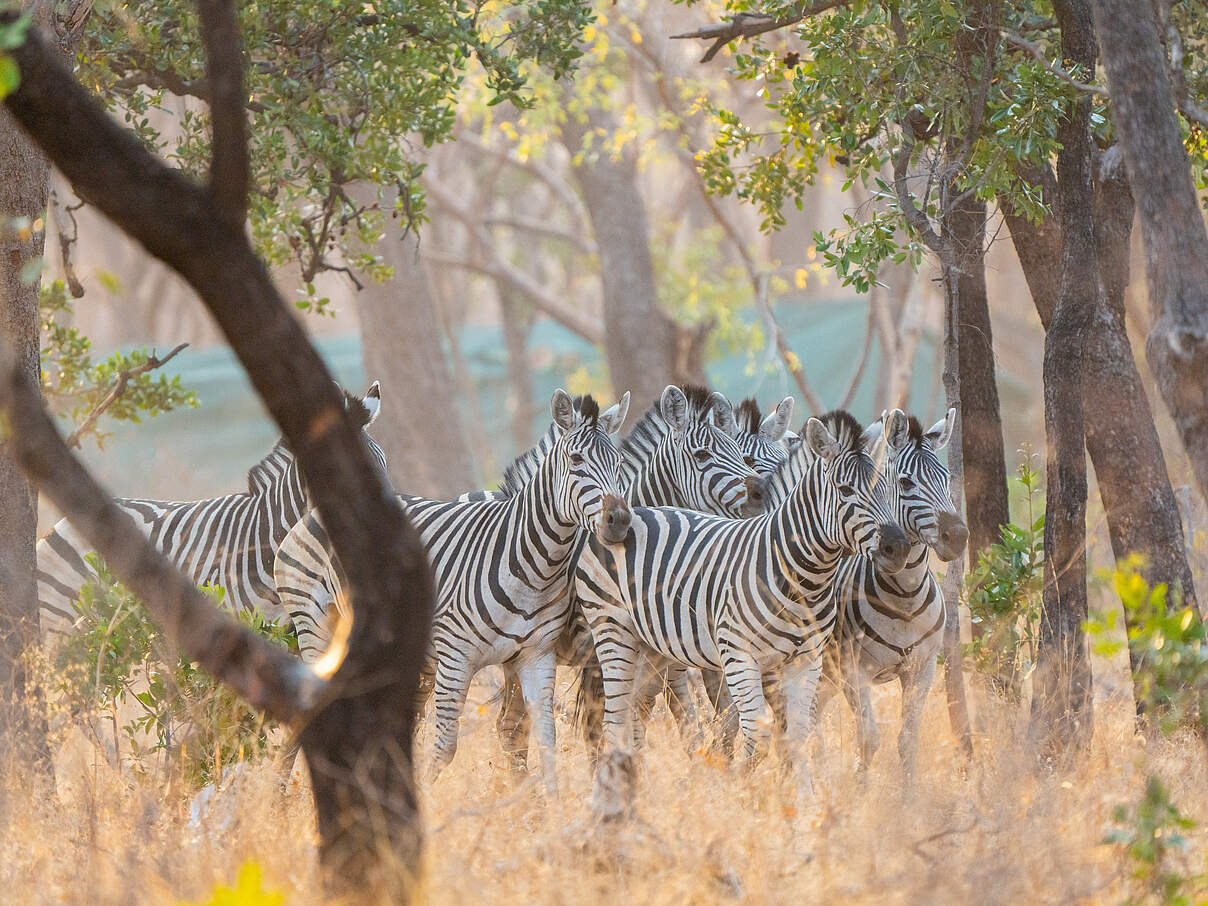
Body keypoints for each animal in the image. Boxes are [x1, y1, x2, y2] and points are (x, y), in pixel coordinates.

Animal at [274, 389, 632, 794]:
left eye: (619, 462)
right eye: (576, 460)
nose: (619, 520)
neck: (533, 567)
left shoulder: (535, 656)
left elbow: (545, 736)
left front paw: (553, 802)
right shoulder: (455, 658)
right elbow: (446, 746)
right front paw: (425, 800)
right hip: (316, 626)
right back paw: (282, 797)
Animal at [573, 409, 909, 805]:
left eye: (888, 488)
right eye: (846, 491)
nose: (898, 548)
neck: (803, 577)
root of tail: (631, 511)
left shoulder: (806, 659)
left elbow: (798, 735)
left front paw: (805, 804)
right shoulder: (738, 654)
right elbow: (758, 734)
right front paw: (739, 794)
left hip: (651, 648)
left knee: (633, 712)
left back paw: (632, 787)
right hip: (612, 630)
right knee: (613, 719)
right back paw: (608, 796)